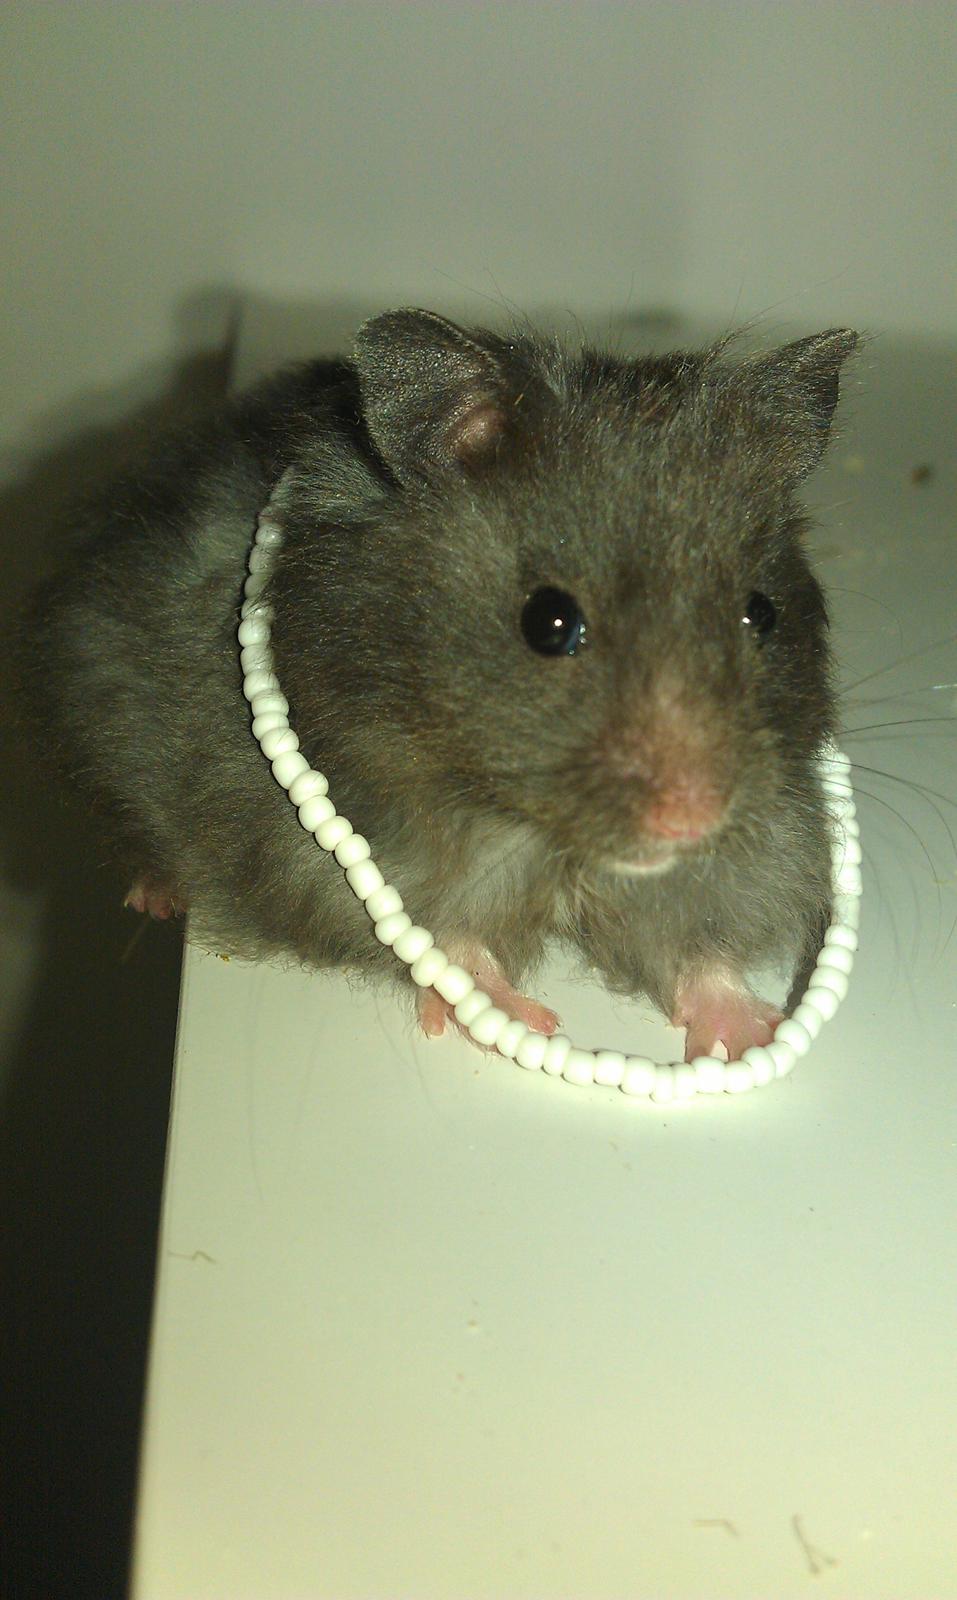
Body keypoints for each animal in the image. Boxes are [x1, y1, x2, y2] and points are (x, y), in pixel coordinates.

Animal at [27, 308, 859, 1061]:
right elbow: (446, 934)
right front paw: (525, 1021)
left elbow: (696, 946)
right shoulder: (323, 850)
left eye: (759, 613)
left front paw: (749, 1033)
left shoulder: (739, 852)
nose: (692, 819)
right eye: (548, 622)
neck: (535, 831)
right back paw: (158, 897)